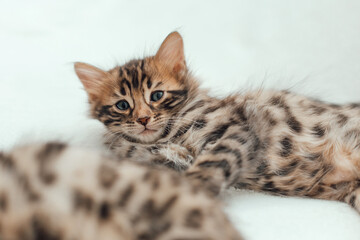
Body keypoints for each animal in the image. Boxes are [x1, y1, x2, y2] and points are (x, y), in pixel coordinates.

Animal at [74, 31, 360, 212]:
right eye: (123, 105)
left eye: (157, 95)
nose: (143, 119)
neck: (168, 136)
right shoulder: (160, 160)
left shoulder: (233, 129)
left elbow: (212, 162)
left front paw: (194, 192)